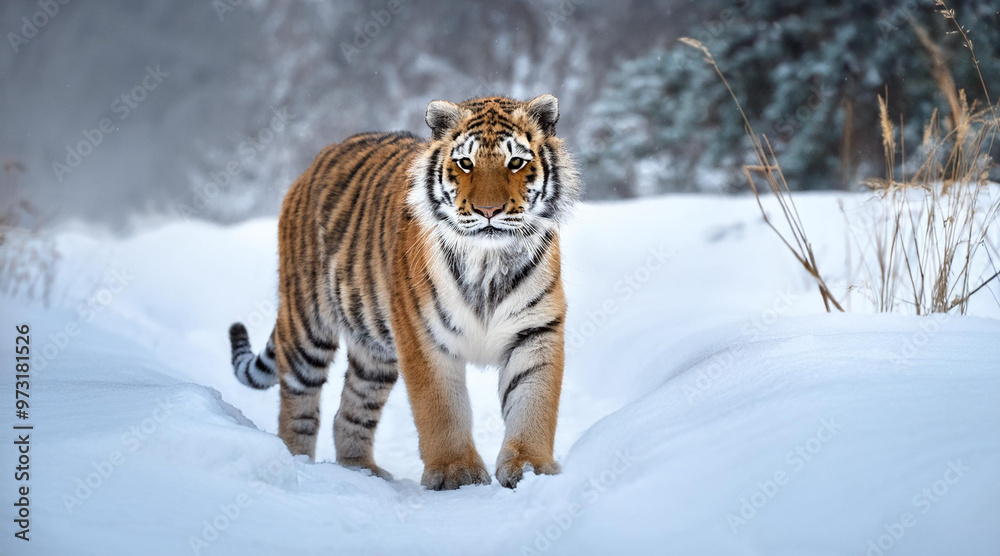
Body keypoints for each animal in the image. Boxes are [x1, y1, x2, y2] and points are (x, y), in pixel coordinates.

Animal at [228, 94, 580, 490]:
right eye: (466, 163)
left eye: (516, 162)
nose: (488, 210)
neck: (489, 261)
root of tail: (316, 161)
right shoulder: (423, 335)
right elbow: (441, 410)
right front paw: (456, 472)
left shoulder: (536, 331)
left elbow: (533, 403)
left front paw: (531, 468)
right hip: (308, 328)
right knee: (297, 407)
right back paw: (294, 464)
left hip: (374, 354)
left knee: (350, 411)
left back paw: (362, 470)